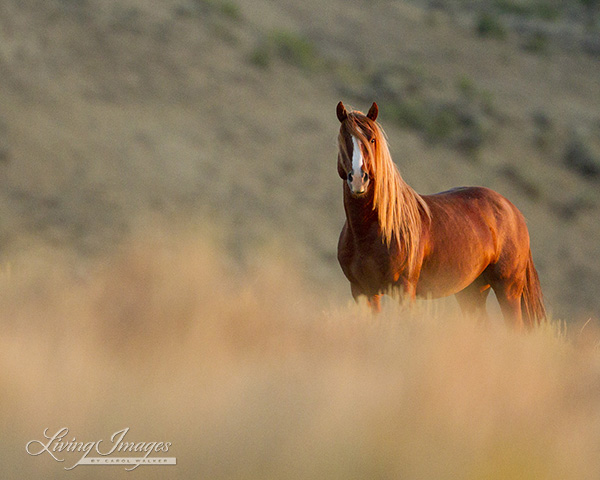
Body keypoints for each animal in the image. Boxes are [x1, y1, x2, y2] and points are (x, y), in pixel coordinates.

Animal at [336, 101, 548, 330]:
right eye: (344, 138)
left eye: (372, 139)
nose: (359, 179)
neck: (369, 232)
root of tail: (513, 211)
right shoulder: (363, 292)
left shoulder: (404, 291)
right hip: (472, 291)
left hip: (508, 289)